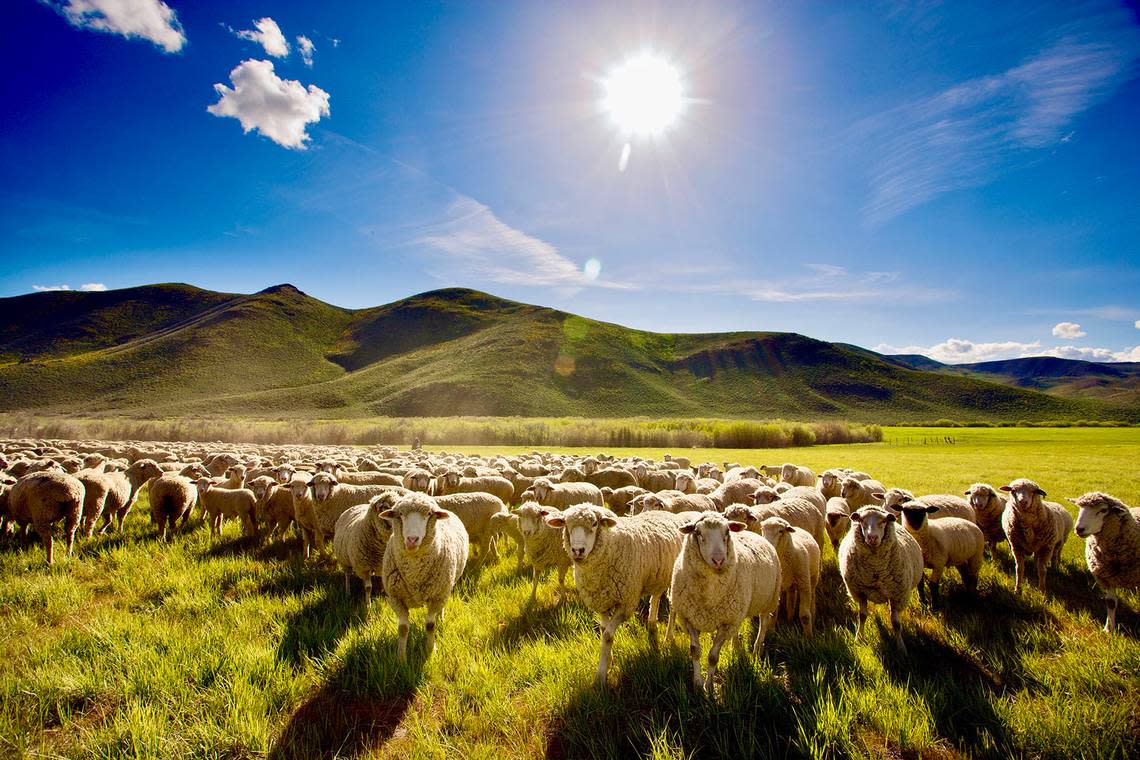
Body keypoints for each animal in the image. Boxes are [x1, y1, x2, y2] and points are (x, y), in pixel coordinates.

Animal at [378, 494, 467, 660]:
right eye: (400, 514)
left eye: (428, 514)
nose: (412, 539)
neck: (415, 574)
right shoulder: (395, 598)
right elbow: (403, 628)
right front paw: (401, 658)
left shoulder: (437, 596)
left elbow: (430, 625)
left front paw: (431, 650)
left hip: (446, 587)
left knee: (440, 610)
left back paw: (441, 619)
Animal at [547, 505, 688, 688]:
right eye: (566, 524)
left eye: (595, 523)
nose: (577, 550)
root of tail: (667, 512)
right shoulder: (601, 601)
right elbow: (604, 631)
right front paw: (609, 659)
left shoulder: (626, 603)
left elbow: (608, 635)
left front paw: (600, 676)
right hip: (657, 576)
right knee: (656, 596)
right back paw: (652, 624)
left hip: (675, 576)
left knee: (672, 606)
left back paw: (668, 637)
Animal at [665, 510, 784, 697]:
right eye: (698, 532)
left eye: (727, 532)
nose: (719, 560)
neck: (709, 594)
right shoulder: (689, 618)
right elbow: (695, 651)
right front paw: (697, 684)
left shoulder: (725, 623)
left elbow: (713, 657)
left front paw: (709, 687)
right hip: (739, 610)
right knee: (738, 629)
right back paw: (736, 646)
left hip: (770, 598)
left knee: (764, 622)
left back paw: (757, 648)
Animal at [839, 508, 925, 651]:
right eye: (861, 520)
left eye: (884, 521)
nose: (872, 538)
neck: (876, 568)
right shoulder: (860, 593)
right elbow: (862, 616)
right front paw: (858, 638)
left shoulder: (897, 595)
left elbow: (896, 623)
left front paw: (901, 647)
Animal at [1067, 489, 1140, 633]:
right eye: (1080, 508)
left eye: (1103, 510)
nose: (1079, 529)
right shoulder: (1107, 577)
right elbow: (1110, 602)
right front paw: (1108, 629)